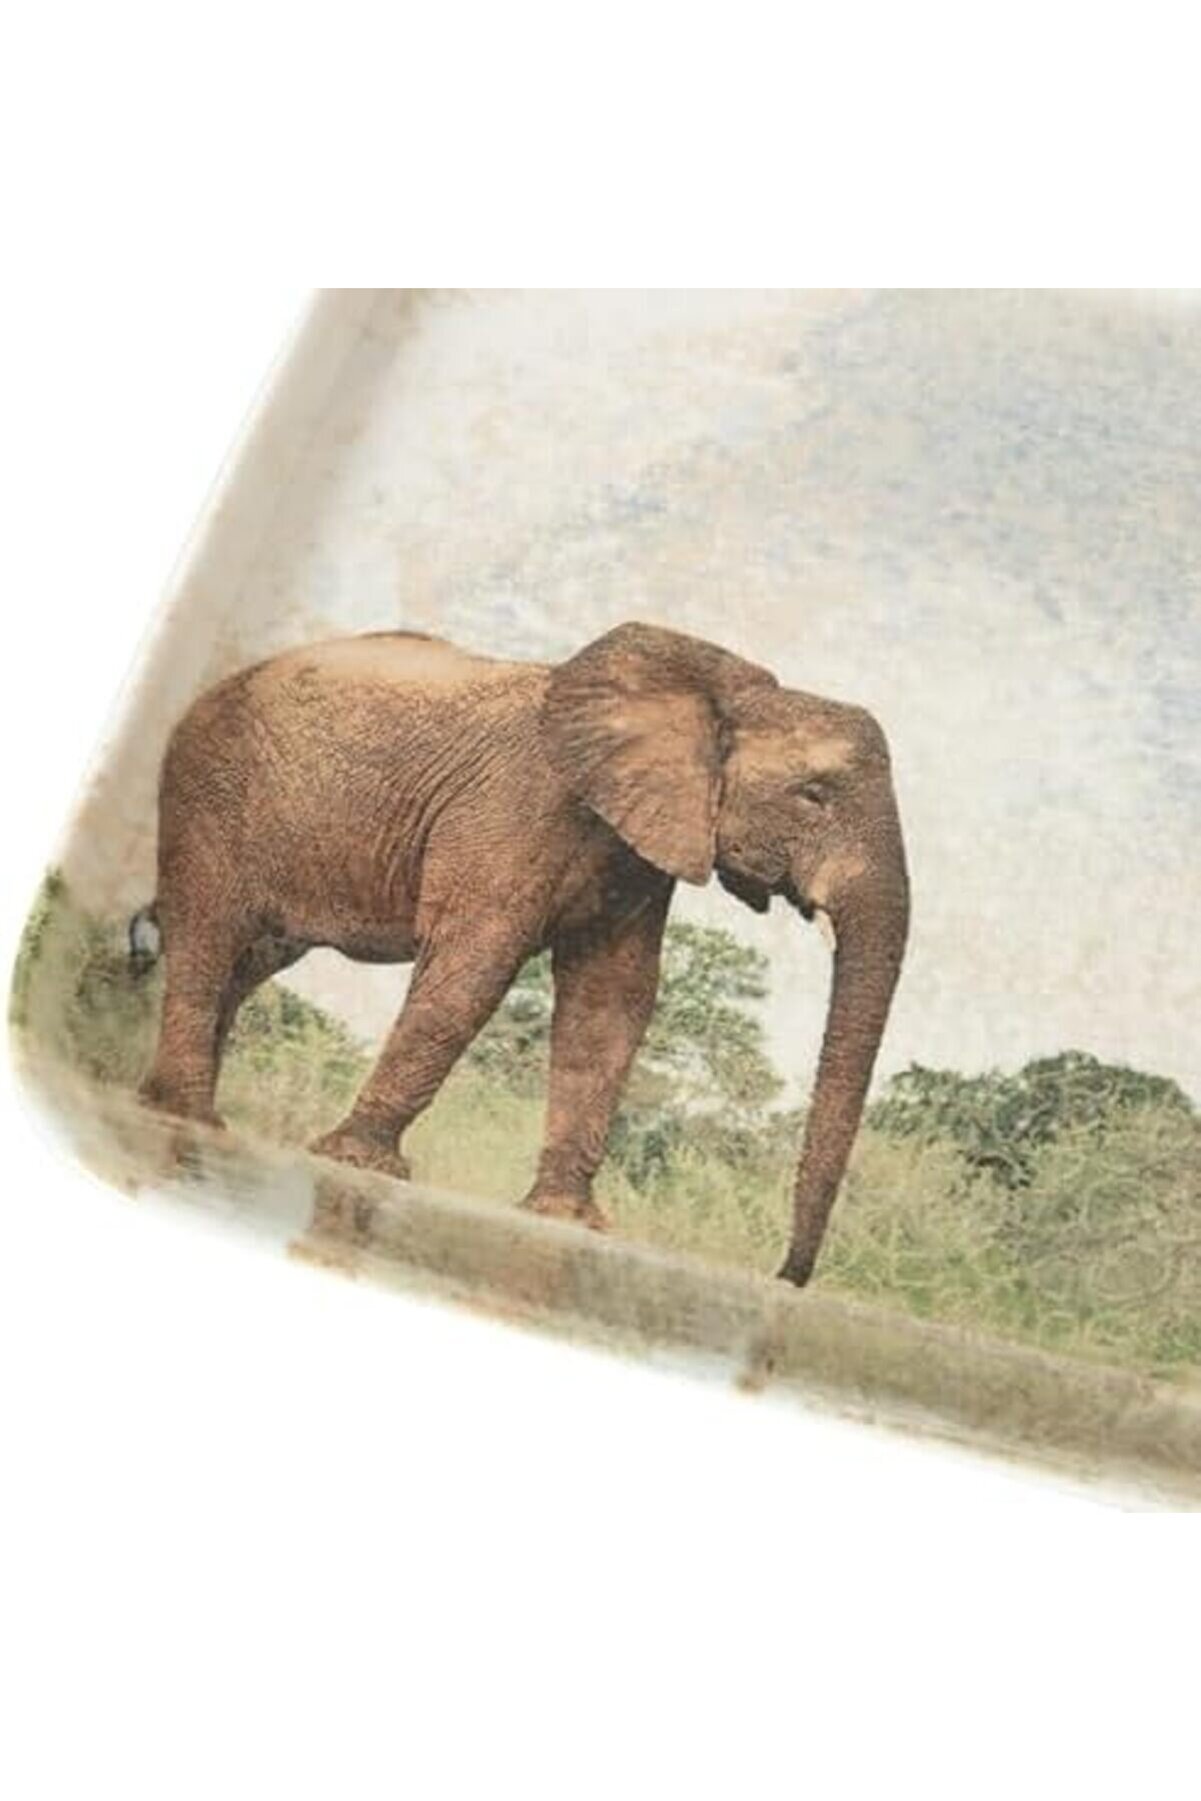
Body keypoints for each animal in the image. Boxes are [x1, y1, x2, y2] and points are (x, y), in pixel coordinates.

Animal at [137, 621, 909, 1284]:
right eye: (814, 795)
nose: (783, 1276)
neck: (717, 690)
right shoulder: (516, 810)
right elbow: (477, 961)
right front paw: (360, 1161)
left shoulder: (639, 846)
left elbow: (613, 1001)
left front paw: (568, 1220)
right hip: (212, 788)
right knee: (210, 935)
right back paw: (189, 1116)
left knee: (248, 960)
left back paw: (168, 1102)